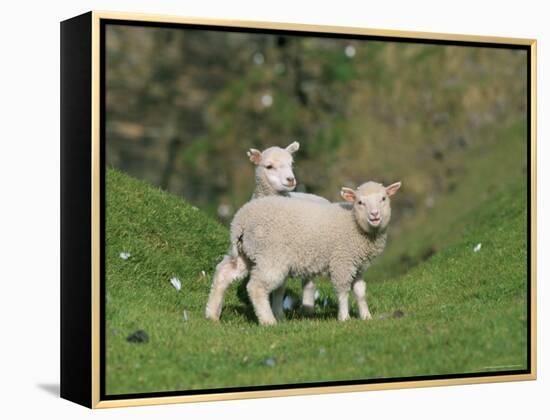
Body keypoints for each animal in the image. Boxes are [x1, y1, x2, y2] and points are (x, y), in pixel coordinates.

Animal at [206, 180, 402, 324]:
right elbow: (343, 291)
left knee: (224, 273)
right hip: (270, 255)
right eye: (360, 202)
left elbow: (360, 291)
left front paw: (366, 316)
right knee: (256, 287)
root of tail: (240, 221)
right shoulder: (342, 261)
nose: (375, 215)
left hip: (246, 252)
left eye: (383, 198)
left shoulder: (358, 265)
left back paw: (212, 314)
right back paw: (268, 321)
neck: (354, 223)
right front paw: (344, 318)